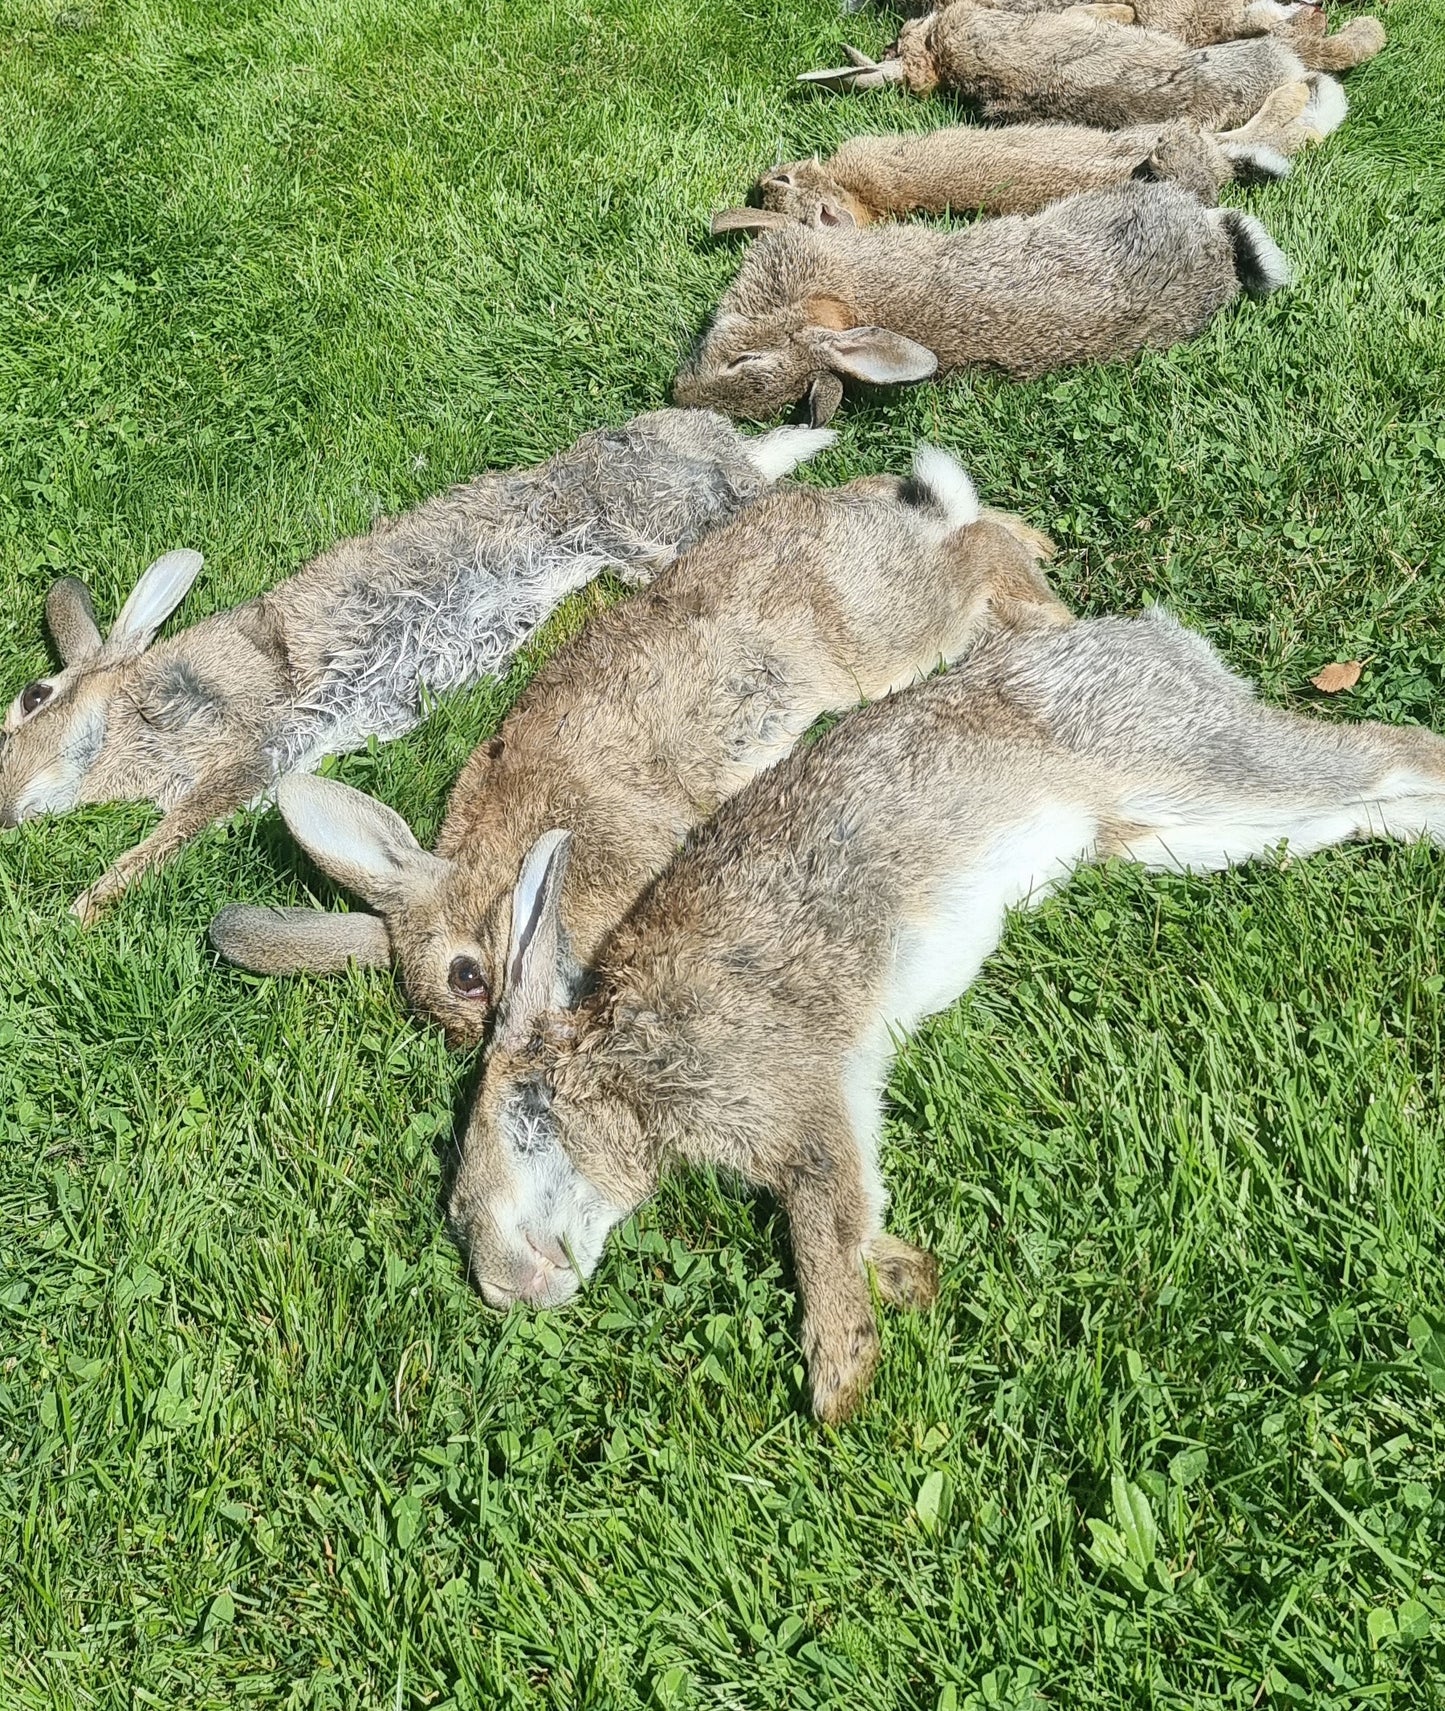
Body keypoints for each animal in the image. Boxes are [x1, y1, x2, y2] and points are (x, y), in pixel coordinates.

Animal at [0, 409, 828, 924]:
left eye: (32, 696)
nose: (5, 811)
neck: (124, 714)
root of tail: (720, 442)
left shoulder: (246, 742)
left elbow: (171, 833)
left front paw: (79, 910)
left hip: (648, 515)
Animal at [210, 447, 1069, 1050]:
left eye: (466, 975)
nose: (517, 1036)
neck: (510, 861)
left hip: (888, 635)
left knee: (975, 552)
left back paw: (1049, 610)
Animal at [452, 591, 1445, 1423]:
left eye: (505, 1137)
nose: (504, 1293)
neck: (619, 1060)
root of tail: (1151, 636)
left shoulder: (794, 1097)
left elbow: (822, 1228)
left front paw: (839, 1381)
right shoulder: (839, 1101)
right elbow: (857, 1213)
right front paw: (906, 1279)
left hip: (1190, 760)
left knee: (1390, 750)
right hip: (1183, 828)